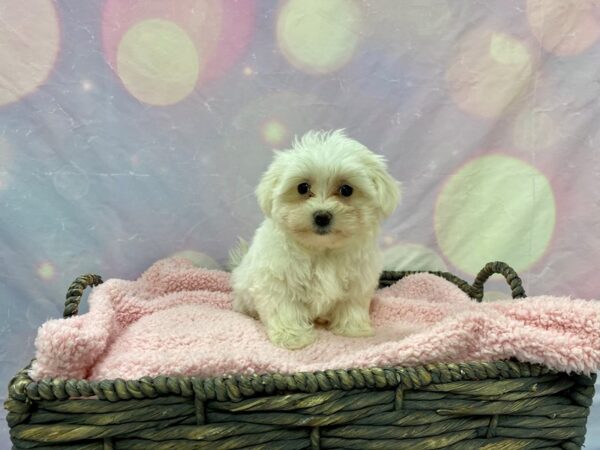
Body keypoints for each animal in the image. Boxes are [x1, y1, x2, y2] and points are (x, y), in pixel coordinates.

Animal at [232, 129, 400, 348]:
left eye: (346, 190)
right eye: (302, 188)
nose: (322, 216)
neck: (322, 250)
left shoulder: (358, 281)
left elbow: (351, 304)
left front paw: (352, 329)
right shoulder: (278, 281)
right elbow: (284, 308)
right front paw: (292, 337)